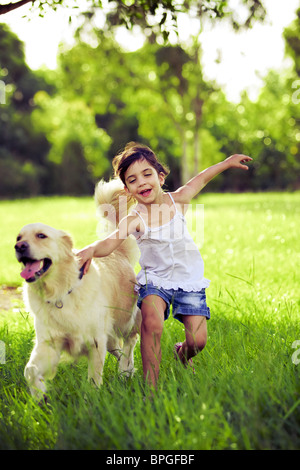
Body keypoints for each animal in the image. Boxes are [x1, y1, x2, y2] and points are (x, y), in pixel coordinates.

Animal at [14, 180, 141, 400]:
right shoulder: (50, 343)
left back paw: (125, 370)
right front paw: (40, 395)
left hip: (124, 319)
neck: (59, 291)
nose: (19, 246)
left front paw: (93, 398)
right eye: (18, 237)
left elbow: (94, 377)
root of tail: (117, 253)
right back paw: (127, 369)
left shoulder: (95, 341)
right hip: (110, 336)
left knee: (130, 340)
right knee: (119, 349)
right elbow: (29, 370)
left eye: (41, 236)